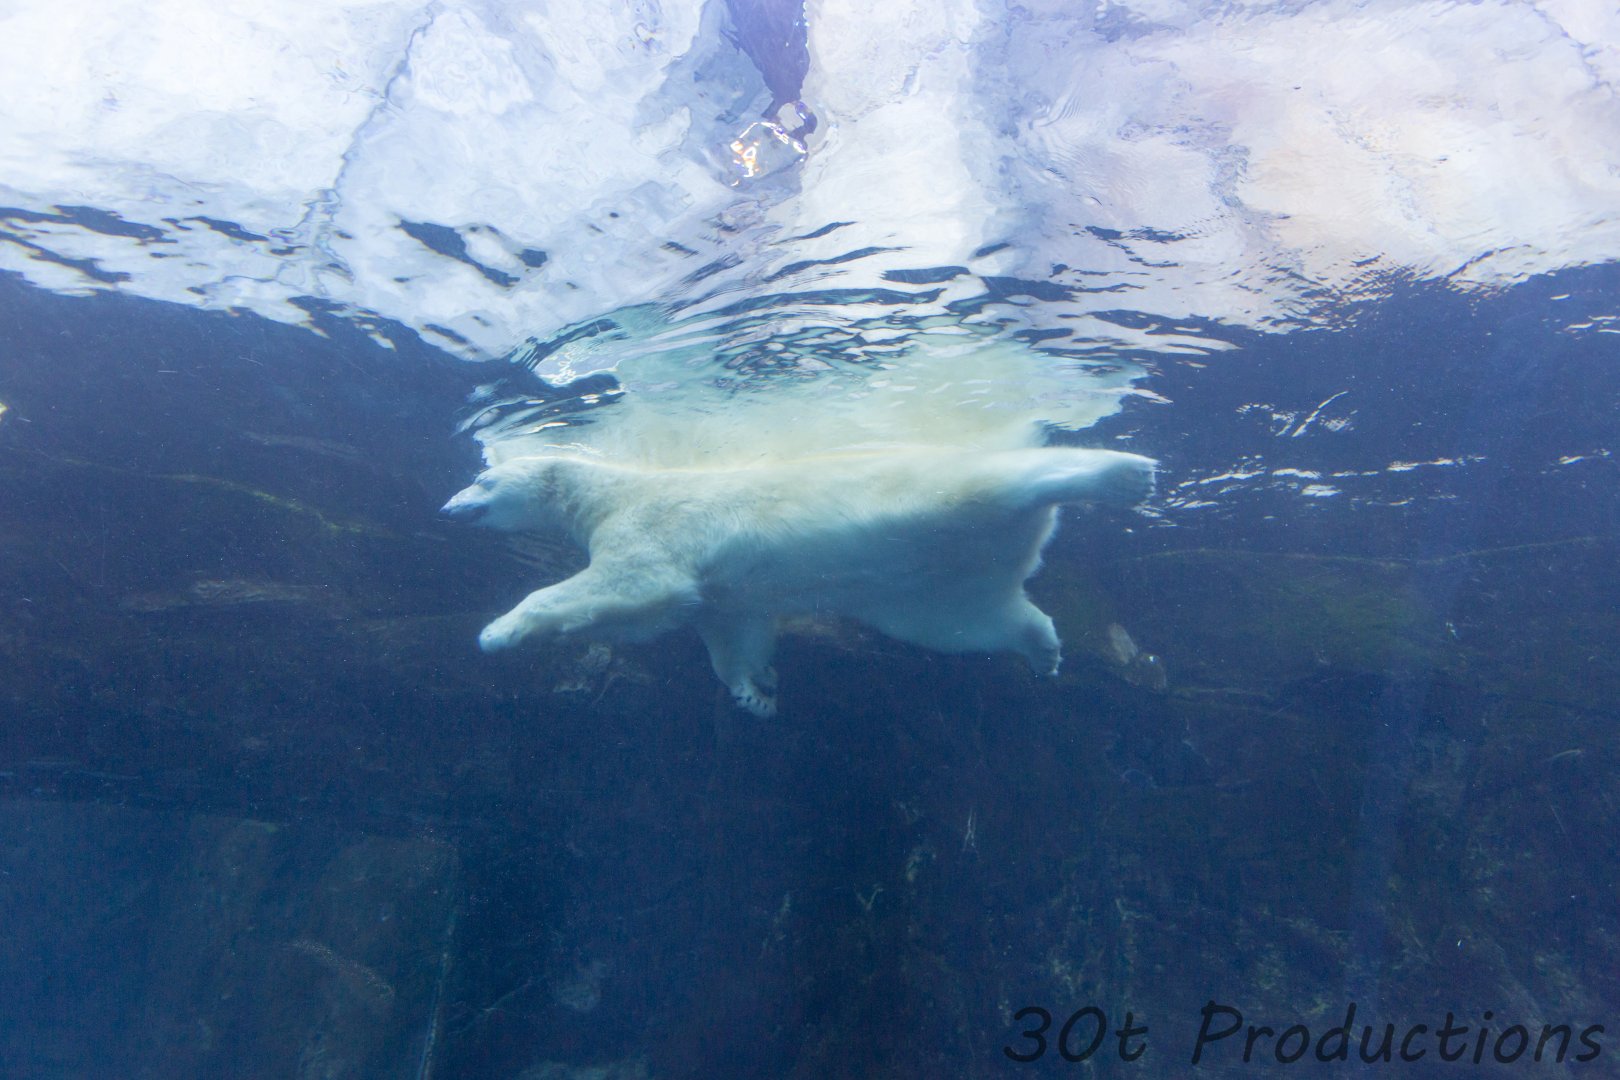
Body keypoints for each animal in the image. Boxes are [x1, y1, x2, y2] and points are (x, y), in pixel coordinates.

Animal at [442, 446, 1156, 716]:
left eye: (481, 478)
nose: (448, 508)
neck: (614, 487)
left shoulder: (650, 526)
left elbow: (631, 586)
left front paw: (498, 631)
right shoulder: (726, 595)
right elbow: (729, 629)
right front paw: (755, 691)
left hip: (928, 488)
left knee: (1010, 476)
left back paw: (1123, 473)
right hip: (933, 585)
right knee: (972, 622)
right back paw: (1045, 649)